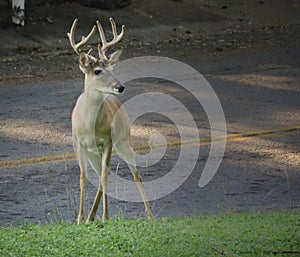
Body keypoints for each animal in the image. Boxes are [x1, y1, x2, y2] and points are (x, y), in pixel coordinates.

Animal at [67, 18, 154, 222]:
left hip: (123, 140)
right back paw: (91, 216)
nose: (120, 87)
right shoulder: (78, 142)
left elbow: (105, 177)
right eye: (97, 71)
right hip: (93, 152)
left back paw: (149, 215)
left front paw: (105, 217)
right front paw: (80, 219)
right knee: (101, 173)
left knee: (133, 174)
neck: (89, 125)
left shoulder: (108, 140)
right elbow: (83, 177)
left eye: (112, 68)